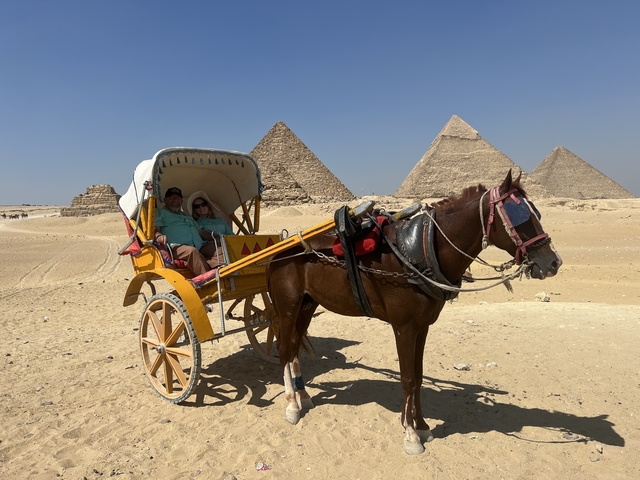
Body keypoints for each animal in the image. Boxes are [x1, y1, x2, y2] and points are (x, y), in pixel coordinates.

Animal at [266, 170, 562, 455]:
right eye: (520, 216)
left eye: (537, 213)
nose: (553, 263)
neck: (422, 249)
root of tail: (280, 248)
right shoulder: (404, 327)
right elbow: (408, 379)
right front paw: (410, 435)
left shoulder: (423, 326)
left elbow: (419, 377)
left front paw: (422, 426)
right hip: (288, 306)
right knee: (284, 349)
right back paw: (292, 406)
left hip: (307, 305)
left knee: (294, 349)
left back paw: (304, 397)